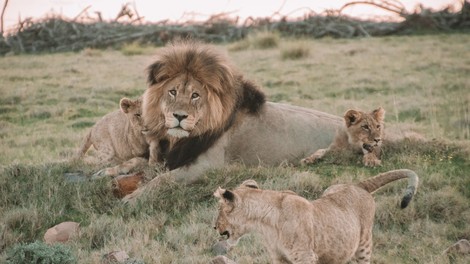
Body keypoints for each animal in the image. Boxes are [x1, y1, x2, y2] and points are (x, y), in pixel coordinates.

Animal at [121, 41, 342, 201]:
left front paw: (132, 199)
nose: (180, 116)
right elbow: (138, 165)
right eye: (172, 92)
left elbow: (162, 180)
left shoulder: (208, 165)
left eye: (195, 95)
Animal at [214, 169, 418, 264]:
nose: (214, 227)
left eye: (219, 210)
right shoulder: (279, 258)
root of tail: (358, 185)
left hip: (364, 245)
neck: (266, 224)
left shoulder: (305, 256)